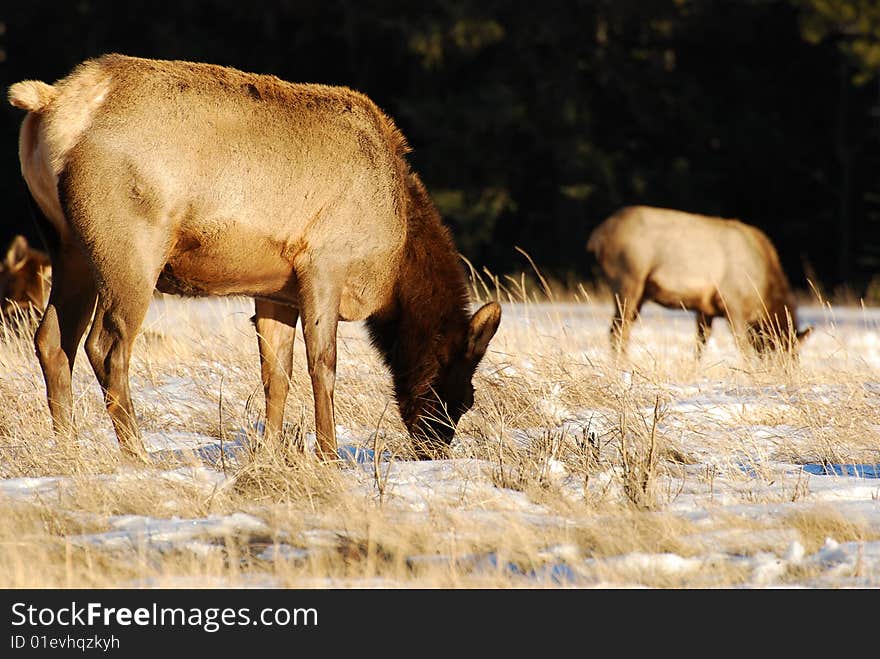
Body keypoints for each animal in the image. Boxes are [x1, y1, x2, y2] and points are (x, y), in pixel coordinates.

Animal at [8, 52, 502, 464]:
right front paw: (328, 456)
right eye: (463, 395)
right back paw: (138, 455)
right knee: (106, 345)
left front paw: (270, 453)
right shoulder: (325, 263)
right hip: (129, 247)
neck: (394, 263)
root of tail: (52, 103)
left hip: (68, 246)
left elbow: (276, 374)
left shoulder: (276, 290)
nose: (433, 451)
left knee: (51, 340)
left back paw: (68, 451)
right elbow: (323, 365)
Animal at [584, 209, 812, 358]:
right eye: (787, 352)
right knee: (617, 331)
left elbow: (700, 346)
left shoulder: (705, 309)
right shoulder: (732, 304)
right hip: (628, 280)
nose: (786, 374)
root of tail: (596, 237)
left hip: (638, 293)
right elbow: (742, 346)